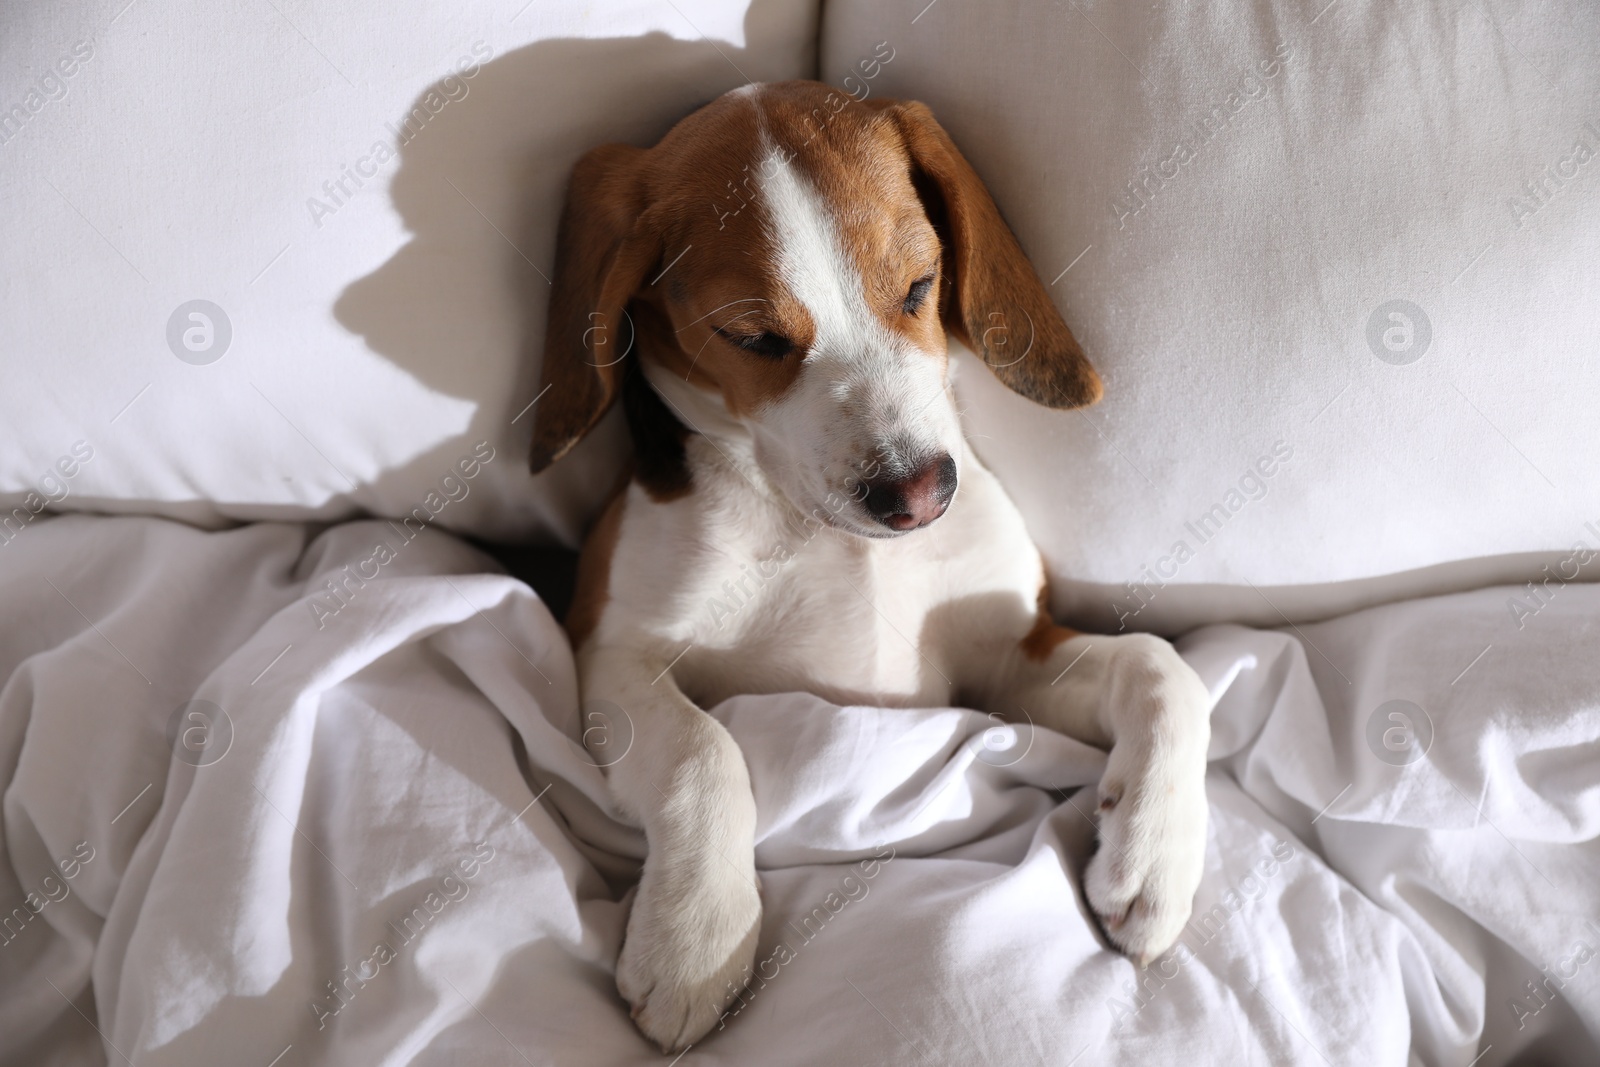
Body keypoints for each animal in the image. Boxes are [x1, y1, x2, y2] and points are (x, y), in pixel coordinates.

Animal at [531, 81, 1203, 1049]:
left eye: (920, 285)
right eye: (753, 337)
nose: (919, 495)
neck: (829, 534)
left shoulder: (1006, 661)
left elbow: (1160, 664)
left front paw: (1155, 854)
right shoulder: (612, 652)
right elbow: (703, 749)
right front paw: (696, 939)